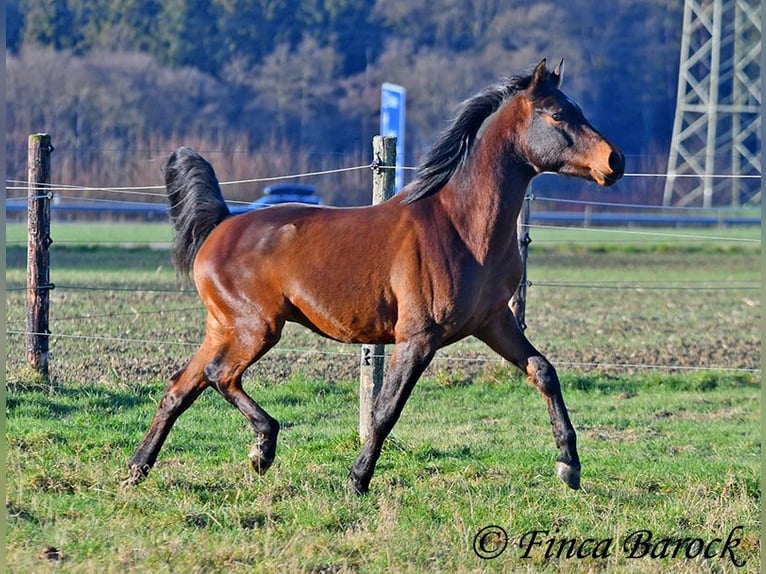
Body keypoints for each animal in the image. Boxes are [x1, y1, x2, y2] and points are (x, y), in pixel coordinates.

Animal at [127, 60, 624, 498]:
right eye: (558, 114)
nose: (614, 160)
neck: (462, 227)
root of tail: (222, 223)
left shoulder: (494, 322)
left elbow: (544, 371)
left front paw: (569, 465)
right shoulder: (417, 337)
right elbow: (386, 411)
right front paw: (357, 480)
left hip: (224, 327)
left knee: (179, 388)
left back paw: (136, 469)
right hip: (256, 328)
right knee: (218, 376)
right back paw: (262, 449)